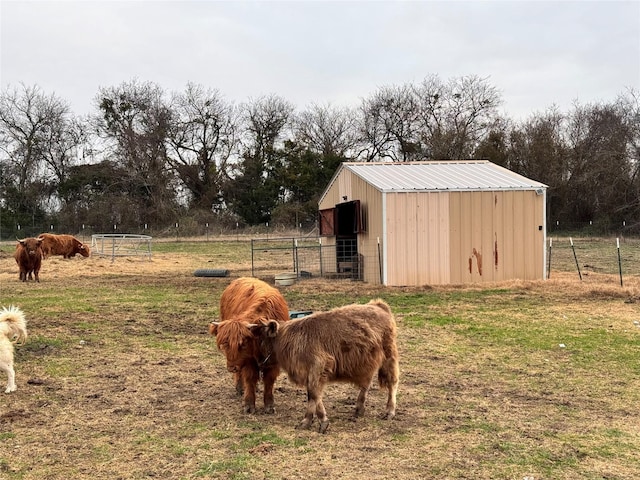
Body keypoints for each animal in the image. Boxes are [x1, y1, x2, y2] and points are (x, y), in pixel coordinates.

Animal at [209, 276, 288, 414]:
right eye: (225, 344)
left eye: (243, 343)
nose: (231, 367)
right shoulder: (249, 360)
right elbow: (250, 378)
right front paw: (249, 405)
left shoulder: (274, 362)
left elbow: (269, 380)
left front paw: (269, 405)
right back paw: (240, 388)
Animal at [251, 298, 398, 434]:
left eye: (262, 340)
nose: (258, 362)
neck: (291, 338)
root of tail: (378, 305)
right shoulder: (309, 373)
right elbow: (313, 395)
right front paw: (314, 420)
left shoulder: (318, 366)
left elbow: (313, 394)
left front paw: (313, 421)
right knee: (366, 384)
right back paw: (359, 409)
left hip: (389, 357)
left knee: (392, 383)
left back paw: (389, 412)